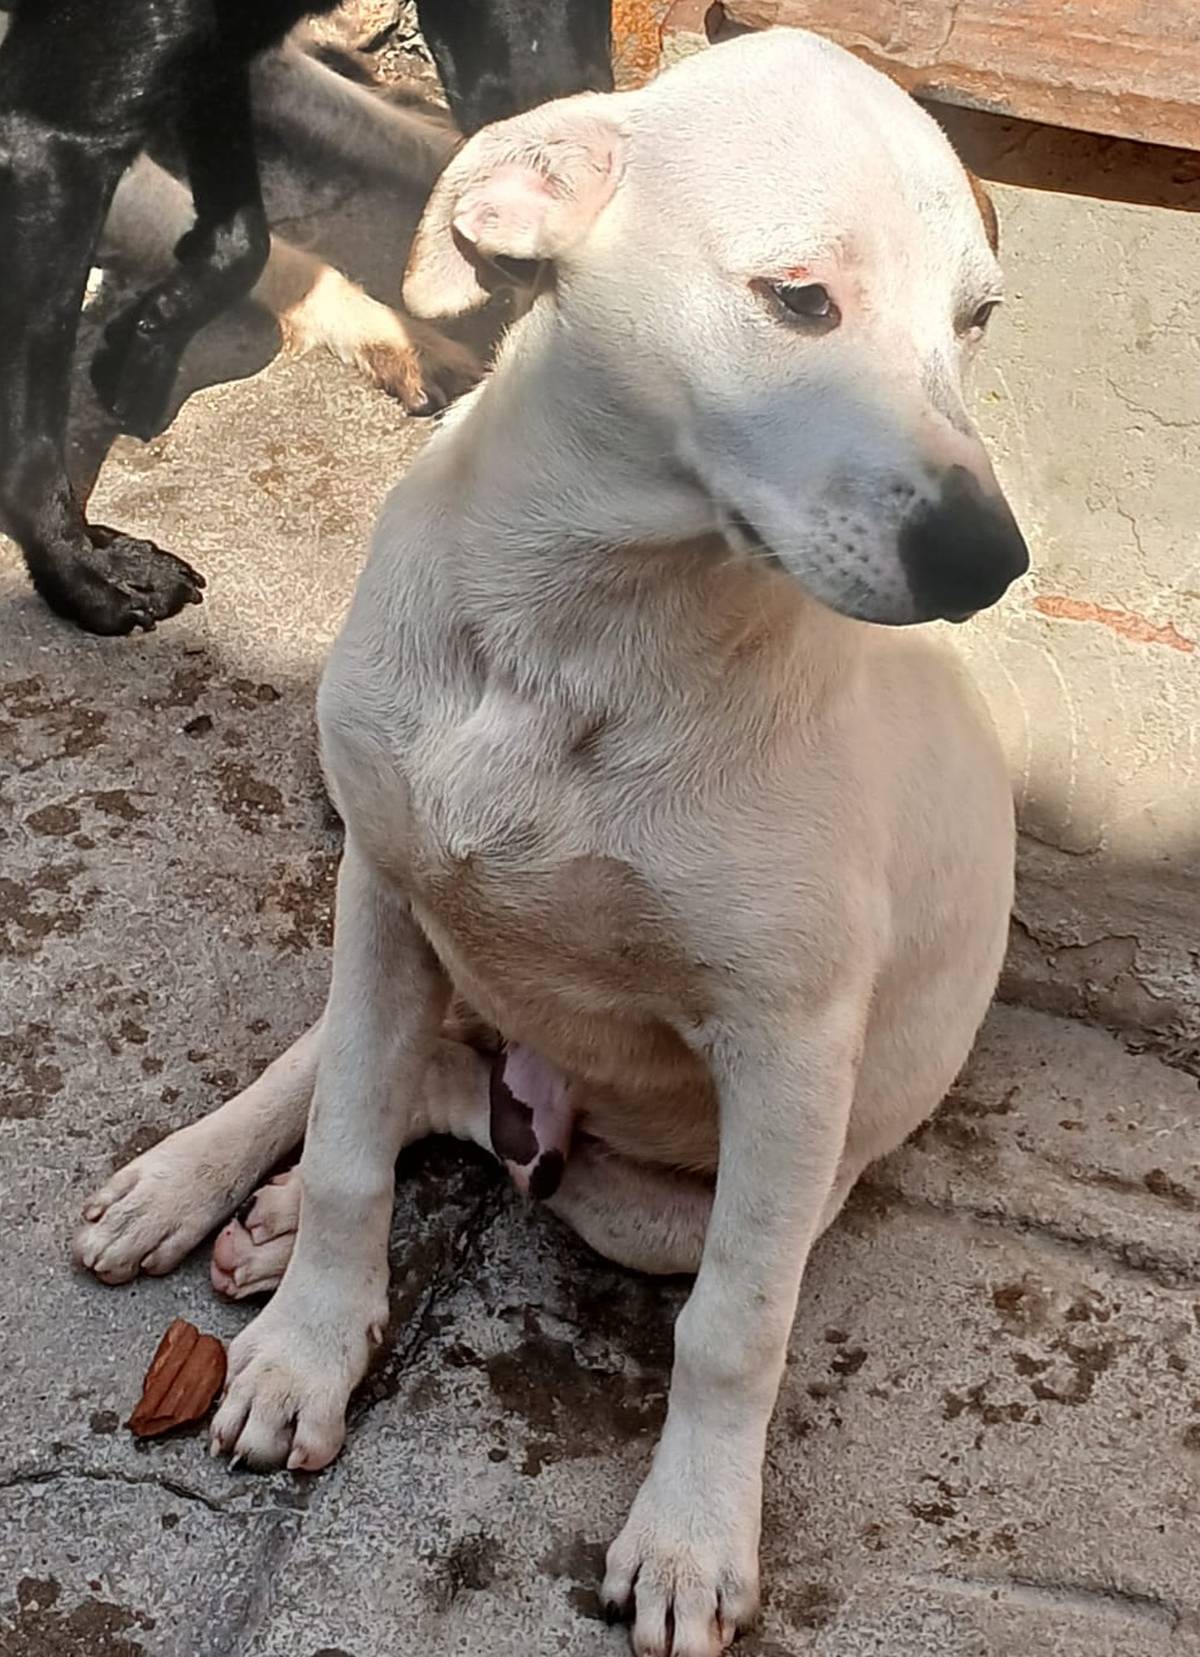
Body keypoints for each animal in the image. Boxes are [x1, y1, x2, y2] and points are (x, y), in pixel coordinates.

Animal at [0, 0, 612, 636]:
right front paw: (81, 570)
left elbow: (249, 238)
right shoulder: (51, 139)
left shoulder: (238, 63)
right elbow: (32, 431)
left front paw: (142, 346)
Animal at [74, 29, 1029, 1656]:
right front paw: (307, 1348)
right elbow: (346, 1141)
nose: (992, 561)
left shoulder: (789, 1053)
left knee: (481, 1117)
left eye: (976, 319)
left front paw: (694, 1538)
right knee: (350, 1071)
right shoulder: (389, 885)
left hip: (669, 1192)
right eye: (799, 297)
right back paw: (198, 1187)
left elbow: (733, 1328)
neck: (576, 630)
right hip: (406, 934)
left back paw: (282, 1211)